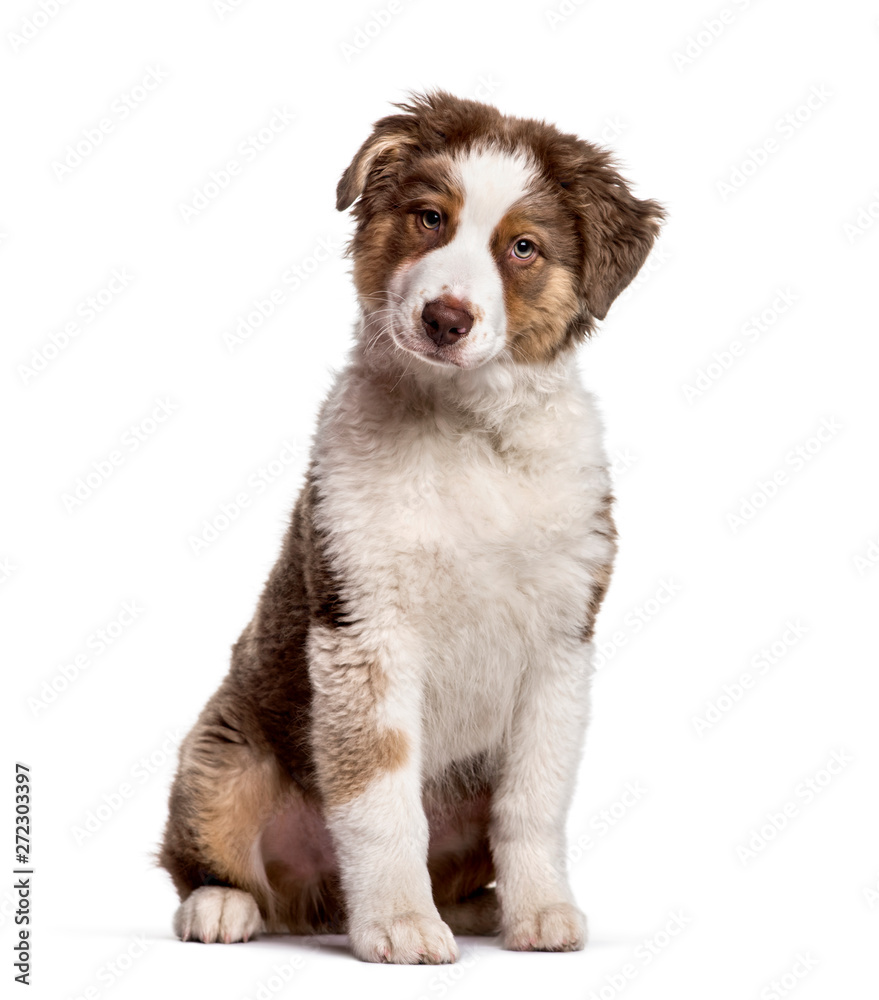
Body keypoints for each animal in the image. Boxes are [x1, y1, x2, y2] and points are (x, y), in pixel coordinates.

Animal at [160, 92, 668, 960]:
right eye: (430, 218)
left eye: (523, 248)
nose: (444, 318)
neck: (467, 428)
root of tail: (320, 901)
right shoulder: (364, 627)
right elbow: (379, 795)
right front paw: (398, 921)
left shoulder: (560, 642)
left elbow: (533, 800)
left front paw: (540, 911)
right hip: (222, 758)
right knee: (206, 855)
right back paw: (223, 907)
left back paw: (477, 908)